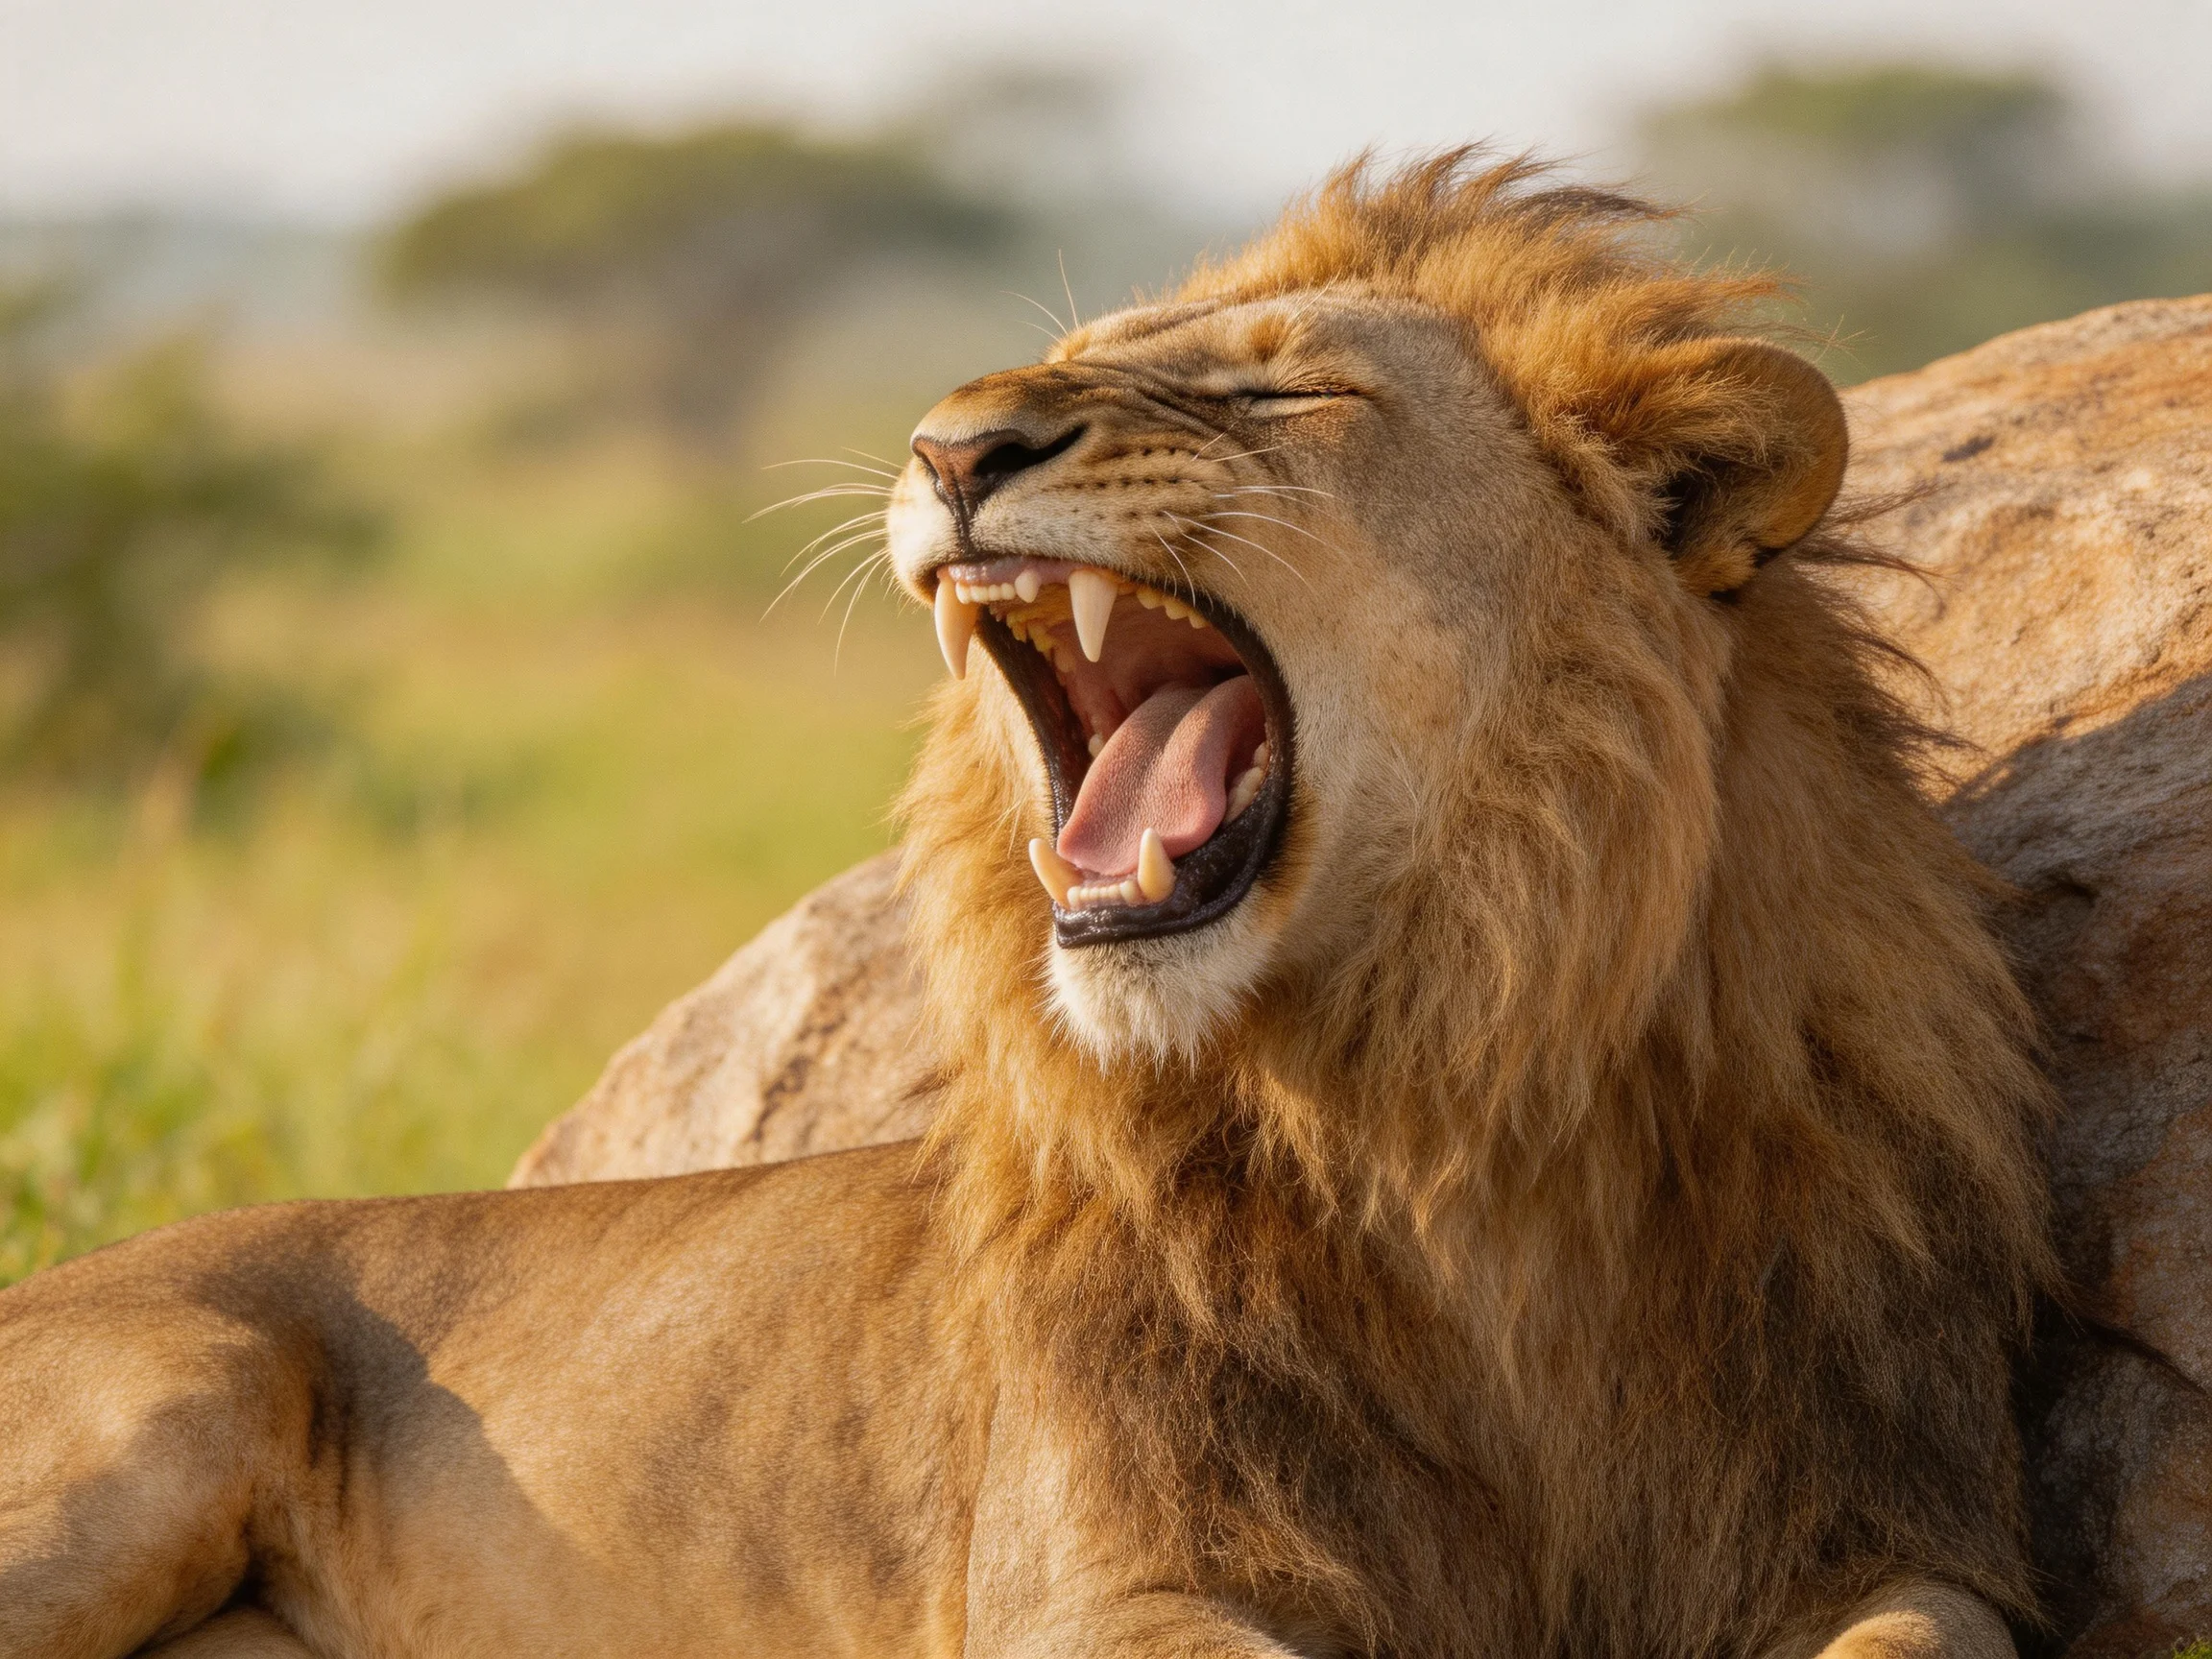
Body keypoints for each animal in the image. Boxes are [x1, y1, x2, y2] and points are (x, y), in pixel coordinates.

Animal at [0, 153, 2053, 1659]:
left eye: (1286, 386)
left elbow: (1917, 1638)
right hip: (162, 1405)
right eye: (1058, 356)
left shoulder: (1883, 1517)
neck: (1432, 1113)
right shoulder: (1103, 1576)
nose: (947, 442)